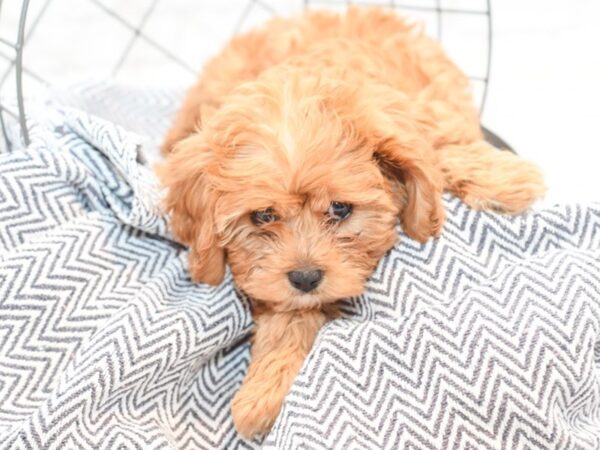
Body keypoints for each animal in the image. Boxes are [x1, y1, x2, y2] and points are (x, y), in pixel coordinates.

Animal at [157, 5, 548, 438]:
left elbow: (436, 147)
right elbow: (288, 313)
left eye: (340, 209)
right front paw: (267, 388)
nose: (306, 277)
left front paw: (505, 181)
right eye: (263, 215)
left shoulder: (418, 110)